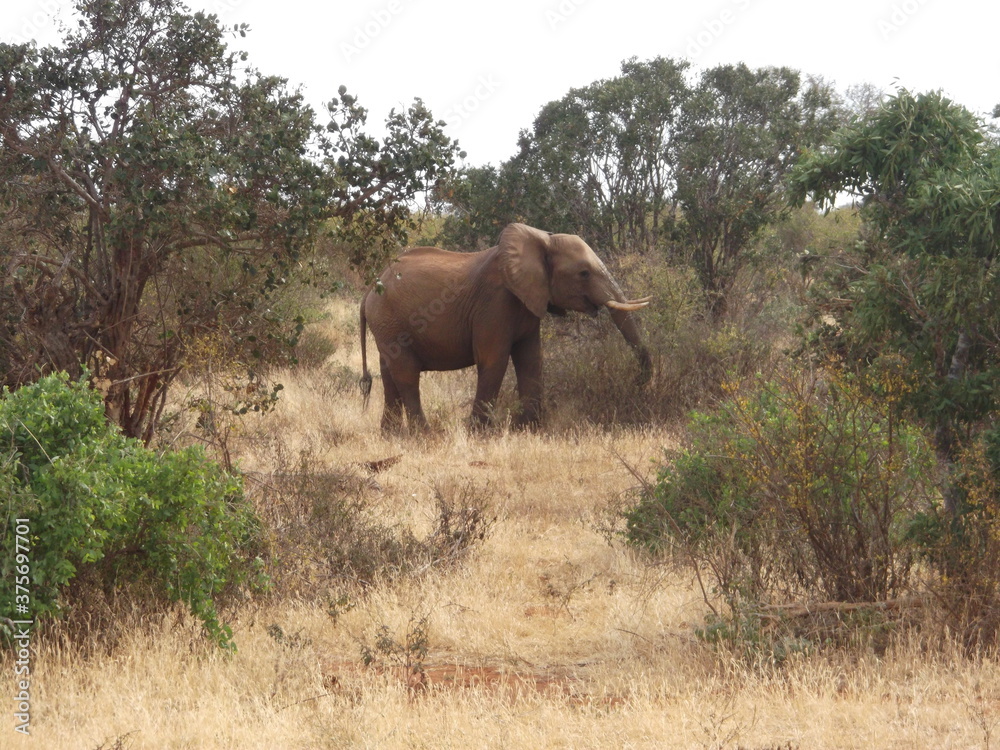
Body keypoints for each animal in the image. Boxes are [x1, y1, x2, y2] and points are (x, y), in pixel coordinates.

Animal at [356, 223, 652, 432]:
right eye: (584, 273)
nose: (637, 383)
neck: (541, 239)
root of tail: (371, 287)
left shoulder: (528, 300)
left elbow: (531, 359)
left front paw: (529, 429)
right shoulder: (494, 303)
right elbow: (494, 359)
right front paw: (479, 433)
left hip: (386, 324)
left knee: (389, 373)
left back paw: (391, 435)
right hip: (390, 320)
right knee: (406, 374)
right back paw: (424, 436)